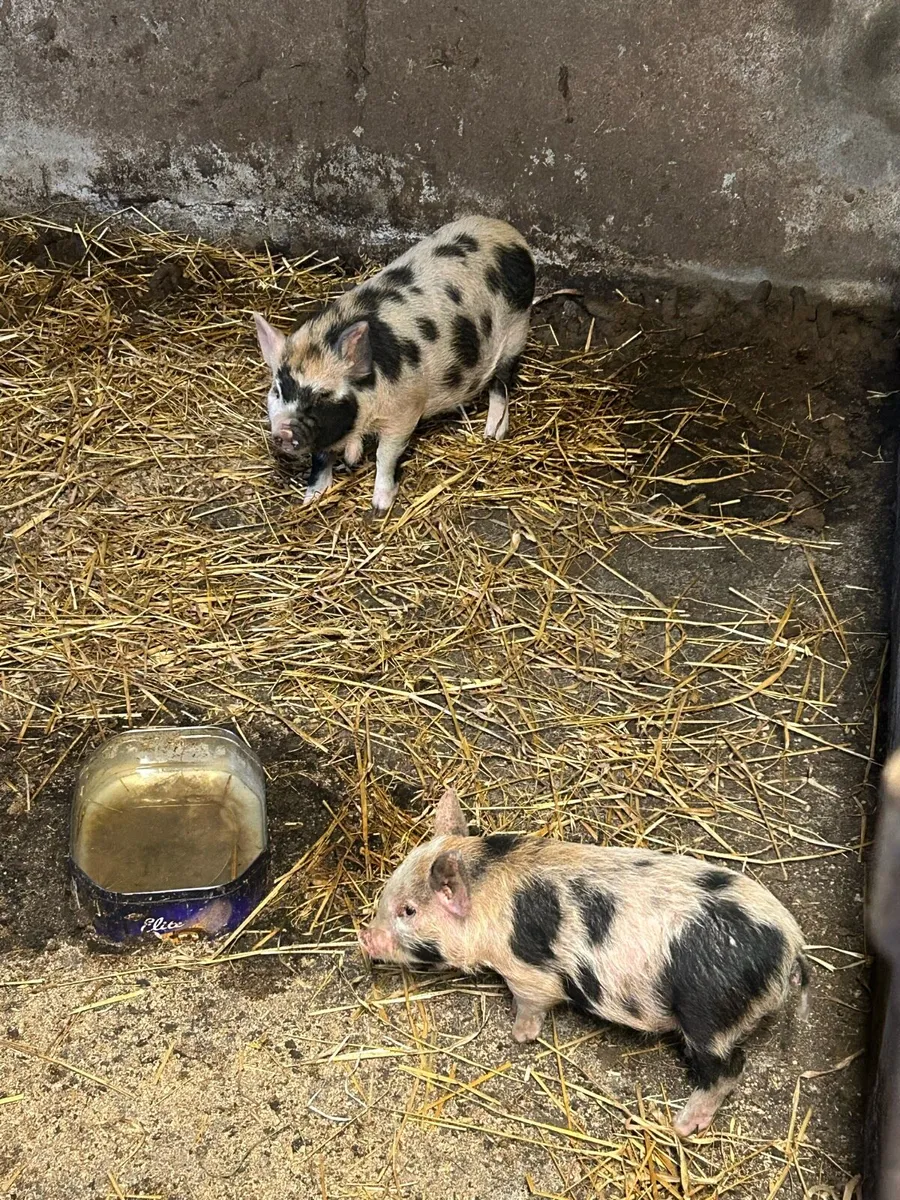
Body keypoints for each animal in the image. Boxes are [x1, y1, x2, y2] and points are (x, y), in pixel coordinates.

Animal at [252, 215, 535, 515]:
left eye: (322, 396)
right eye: (278, 391)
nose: (283, 430)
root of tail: (508, 233)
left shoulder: (405, 412)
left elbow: (385, 455)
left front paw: (380, 507)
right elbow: (320, 457)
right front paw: (312, 499)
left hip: (516, 332)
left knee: (501, 383)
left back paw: (493, 434)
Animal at [359, 788, 810, 1138]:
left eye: (408, 911)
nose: (364, 936)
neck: (488, 897)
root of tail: (791, 945)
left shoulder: (528, 971)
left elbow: (532, 1002)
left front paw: (520, 1036)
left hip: (711, 1016)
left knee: (729, 1068)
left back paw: (682, 1126)